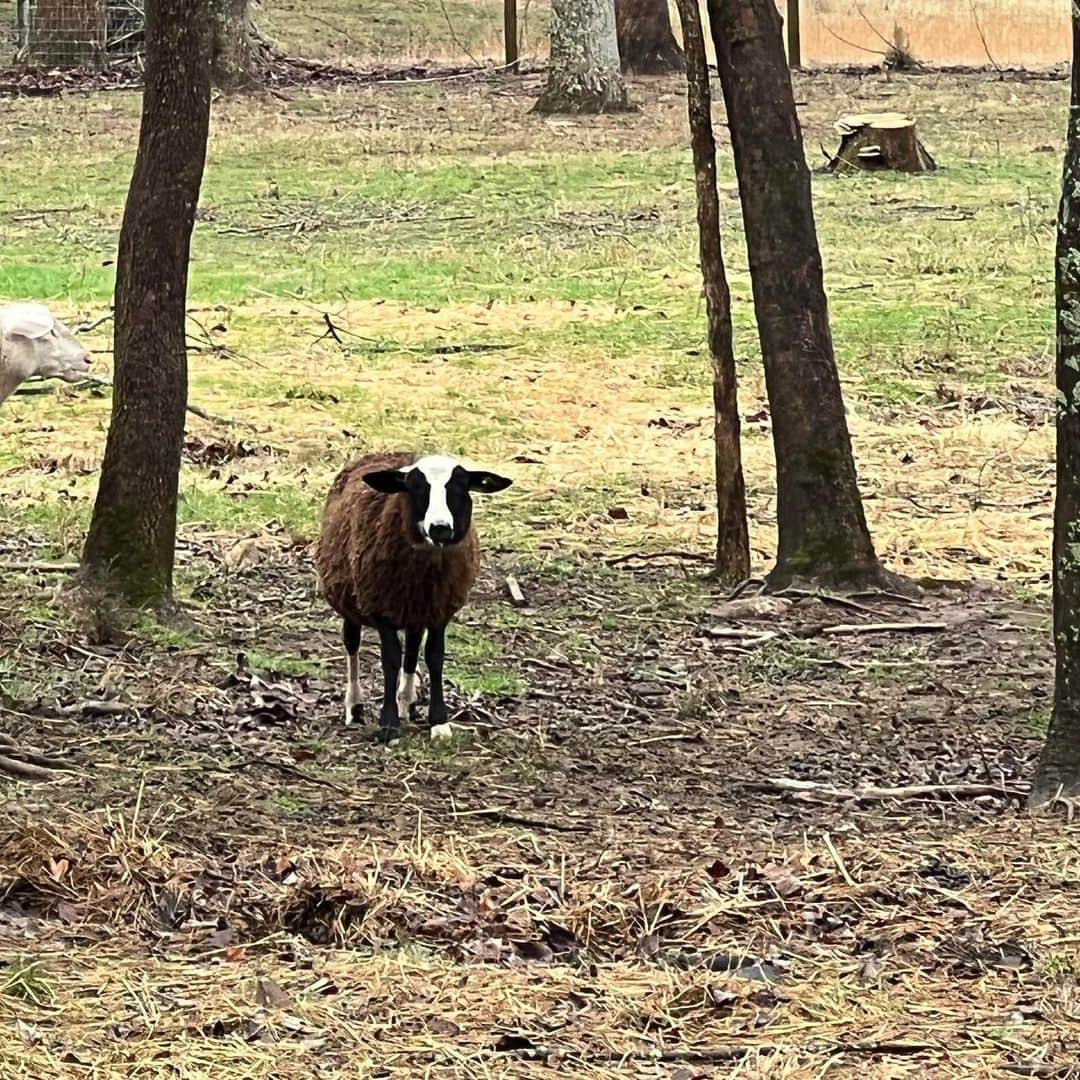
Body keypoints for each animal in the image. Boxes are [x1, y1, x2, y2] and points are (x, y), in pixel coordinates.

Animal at [315, 449, 511, 743]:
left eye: (460, 487)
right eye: (416, 487)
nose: (440, 527)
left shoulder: (439, 609)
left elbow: (434, 656)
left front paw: (439, 723)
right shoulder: (380, 607)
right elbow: (390, 659)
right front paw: (388, 724)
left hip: (414, 611)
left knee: (412, 648)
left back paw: (406, 700)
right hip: (350, 599)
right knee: (352, 645)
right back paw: (355, 705)